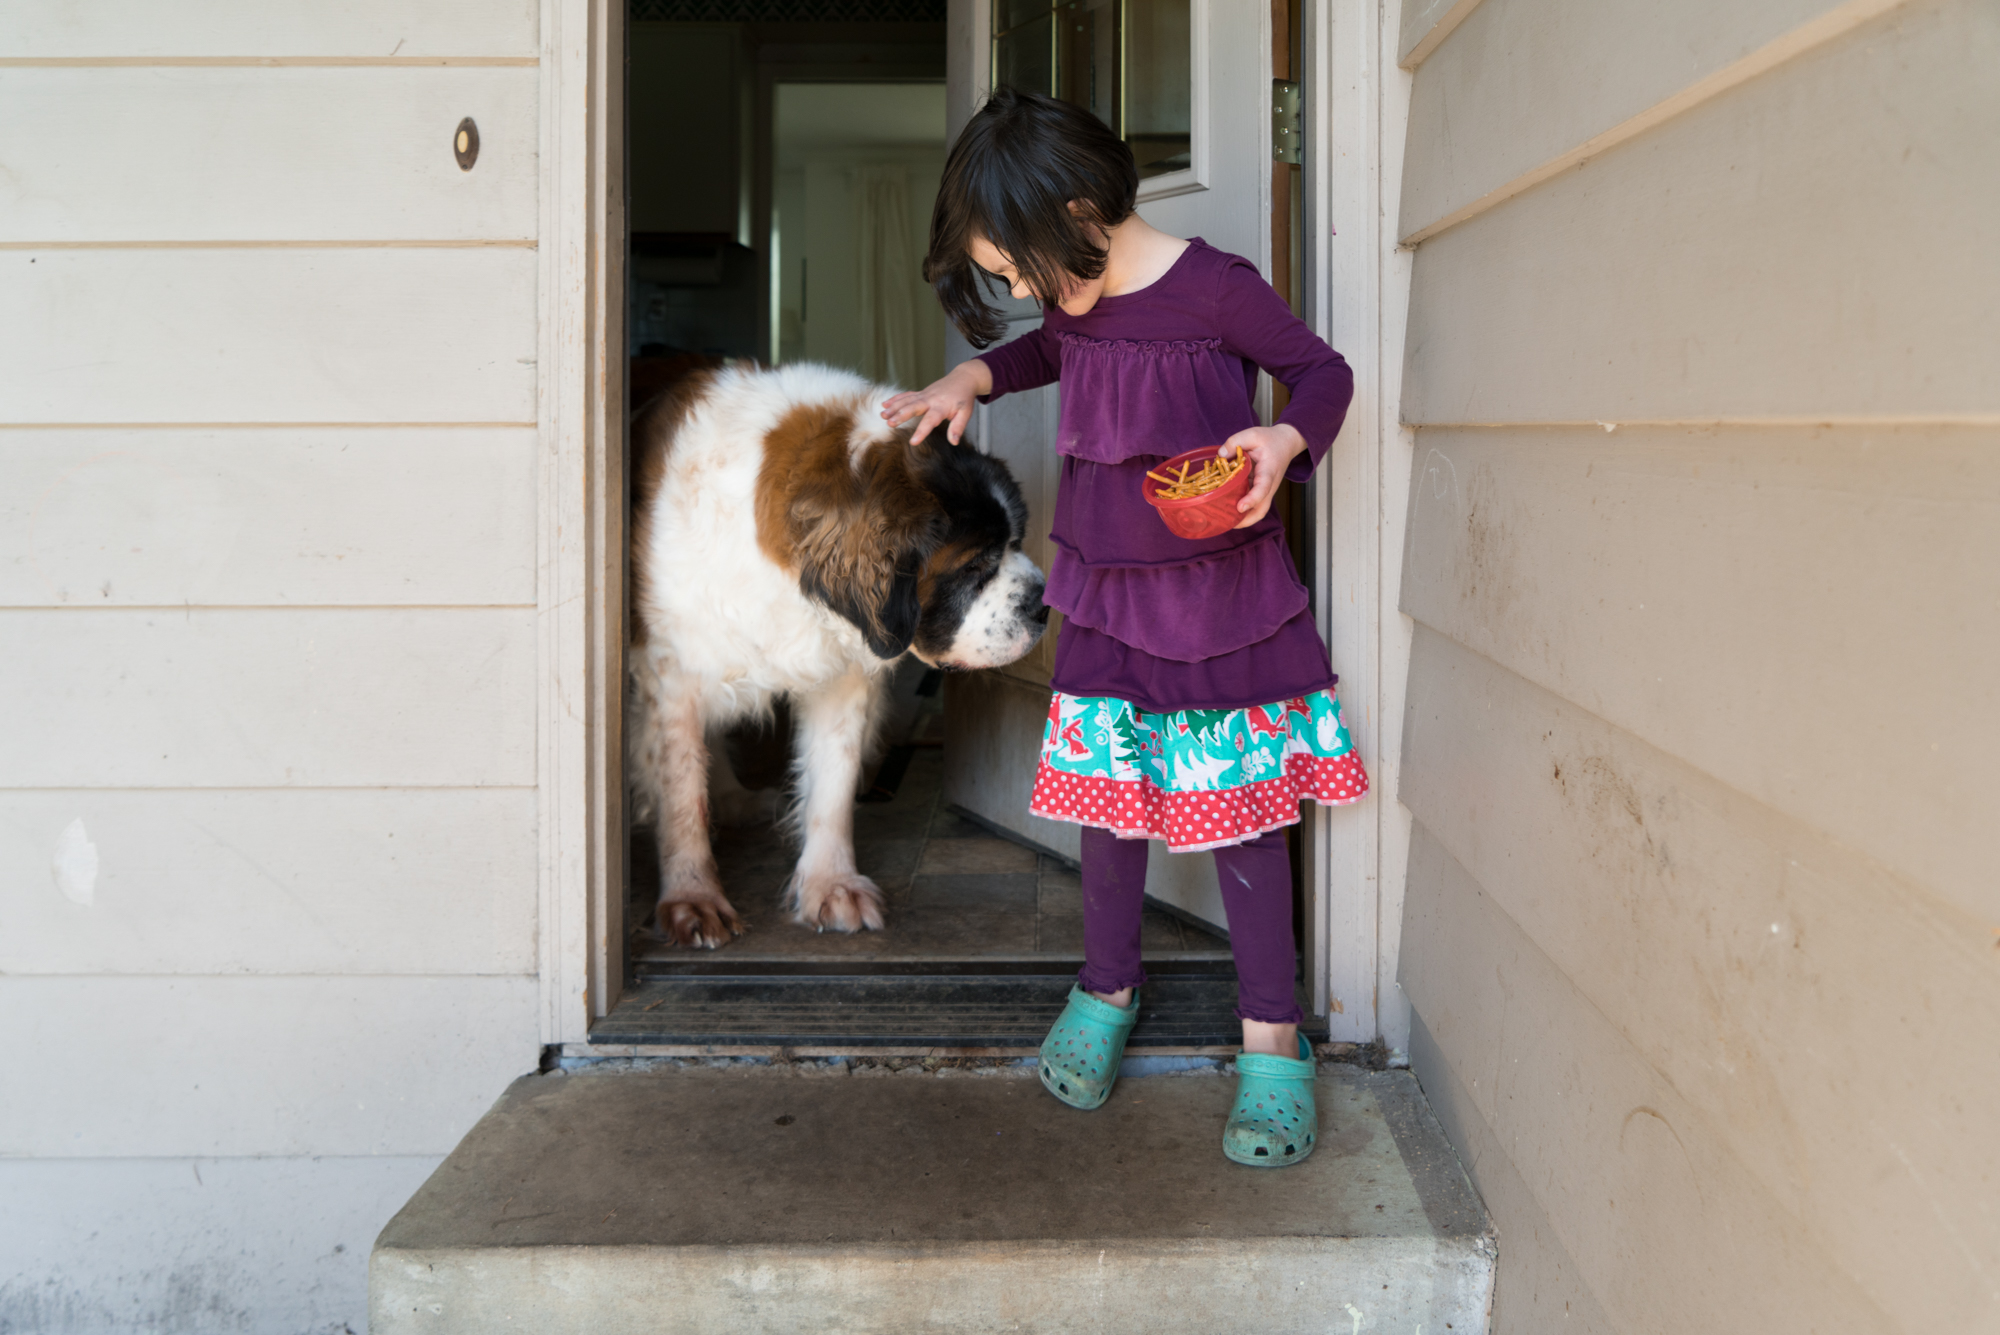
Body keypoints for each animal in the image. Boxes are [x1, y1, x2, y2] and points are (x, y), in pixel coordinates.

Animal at [628, 361, 1048, 947]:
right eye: (974, 565)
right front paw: (692, 898)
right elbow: (681, 790)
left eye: (1016, 542)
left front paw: (831, 885)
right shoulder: (673, 672)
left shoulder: (841, 672)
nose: (1044, 603)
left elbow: (833, 782)